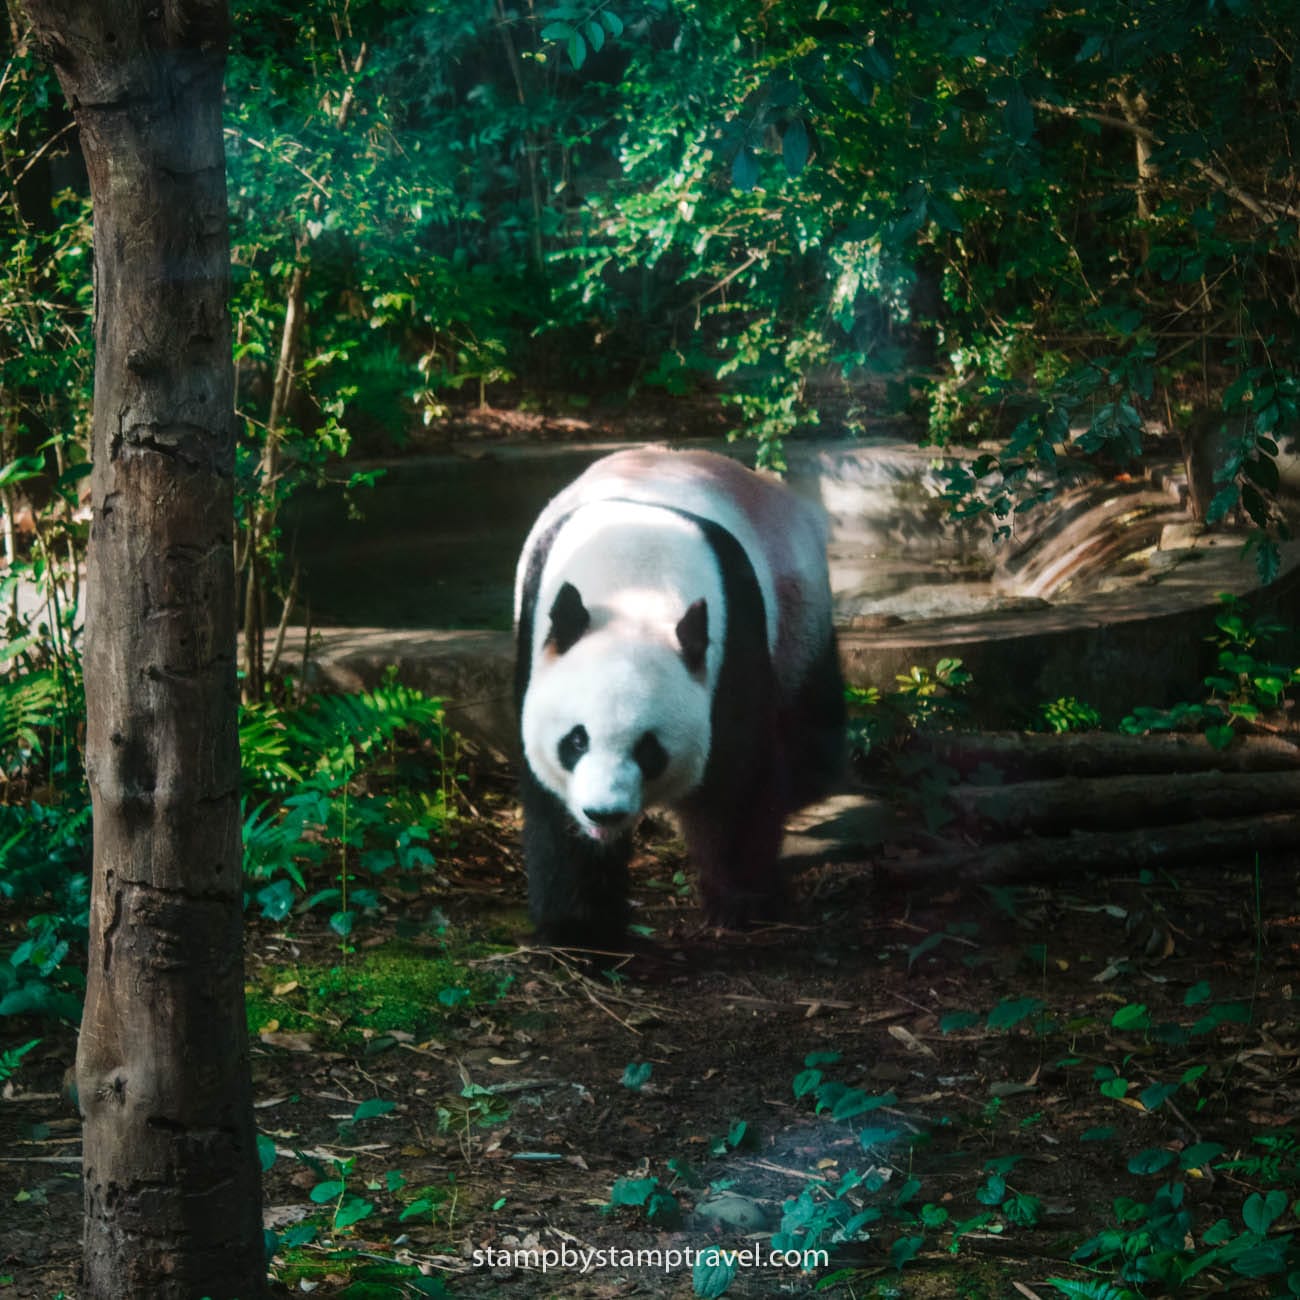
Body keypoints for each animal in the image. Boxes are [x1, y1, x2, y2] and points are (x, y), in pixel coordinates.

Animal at [514, 446, 845, 949]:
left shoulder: (731, 639)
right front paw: (580, 928)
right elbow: (552, 807)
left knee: (811, 714)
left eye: (649, 749)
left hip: (800, 613)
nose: (603, 813)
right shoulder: (535, 637)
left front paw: (742, 904)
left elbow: (736, 778)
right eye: (576, 741)